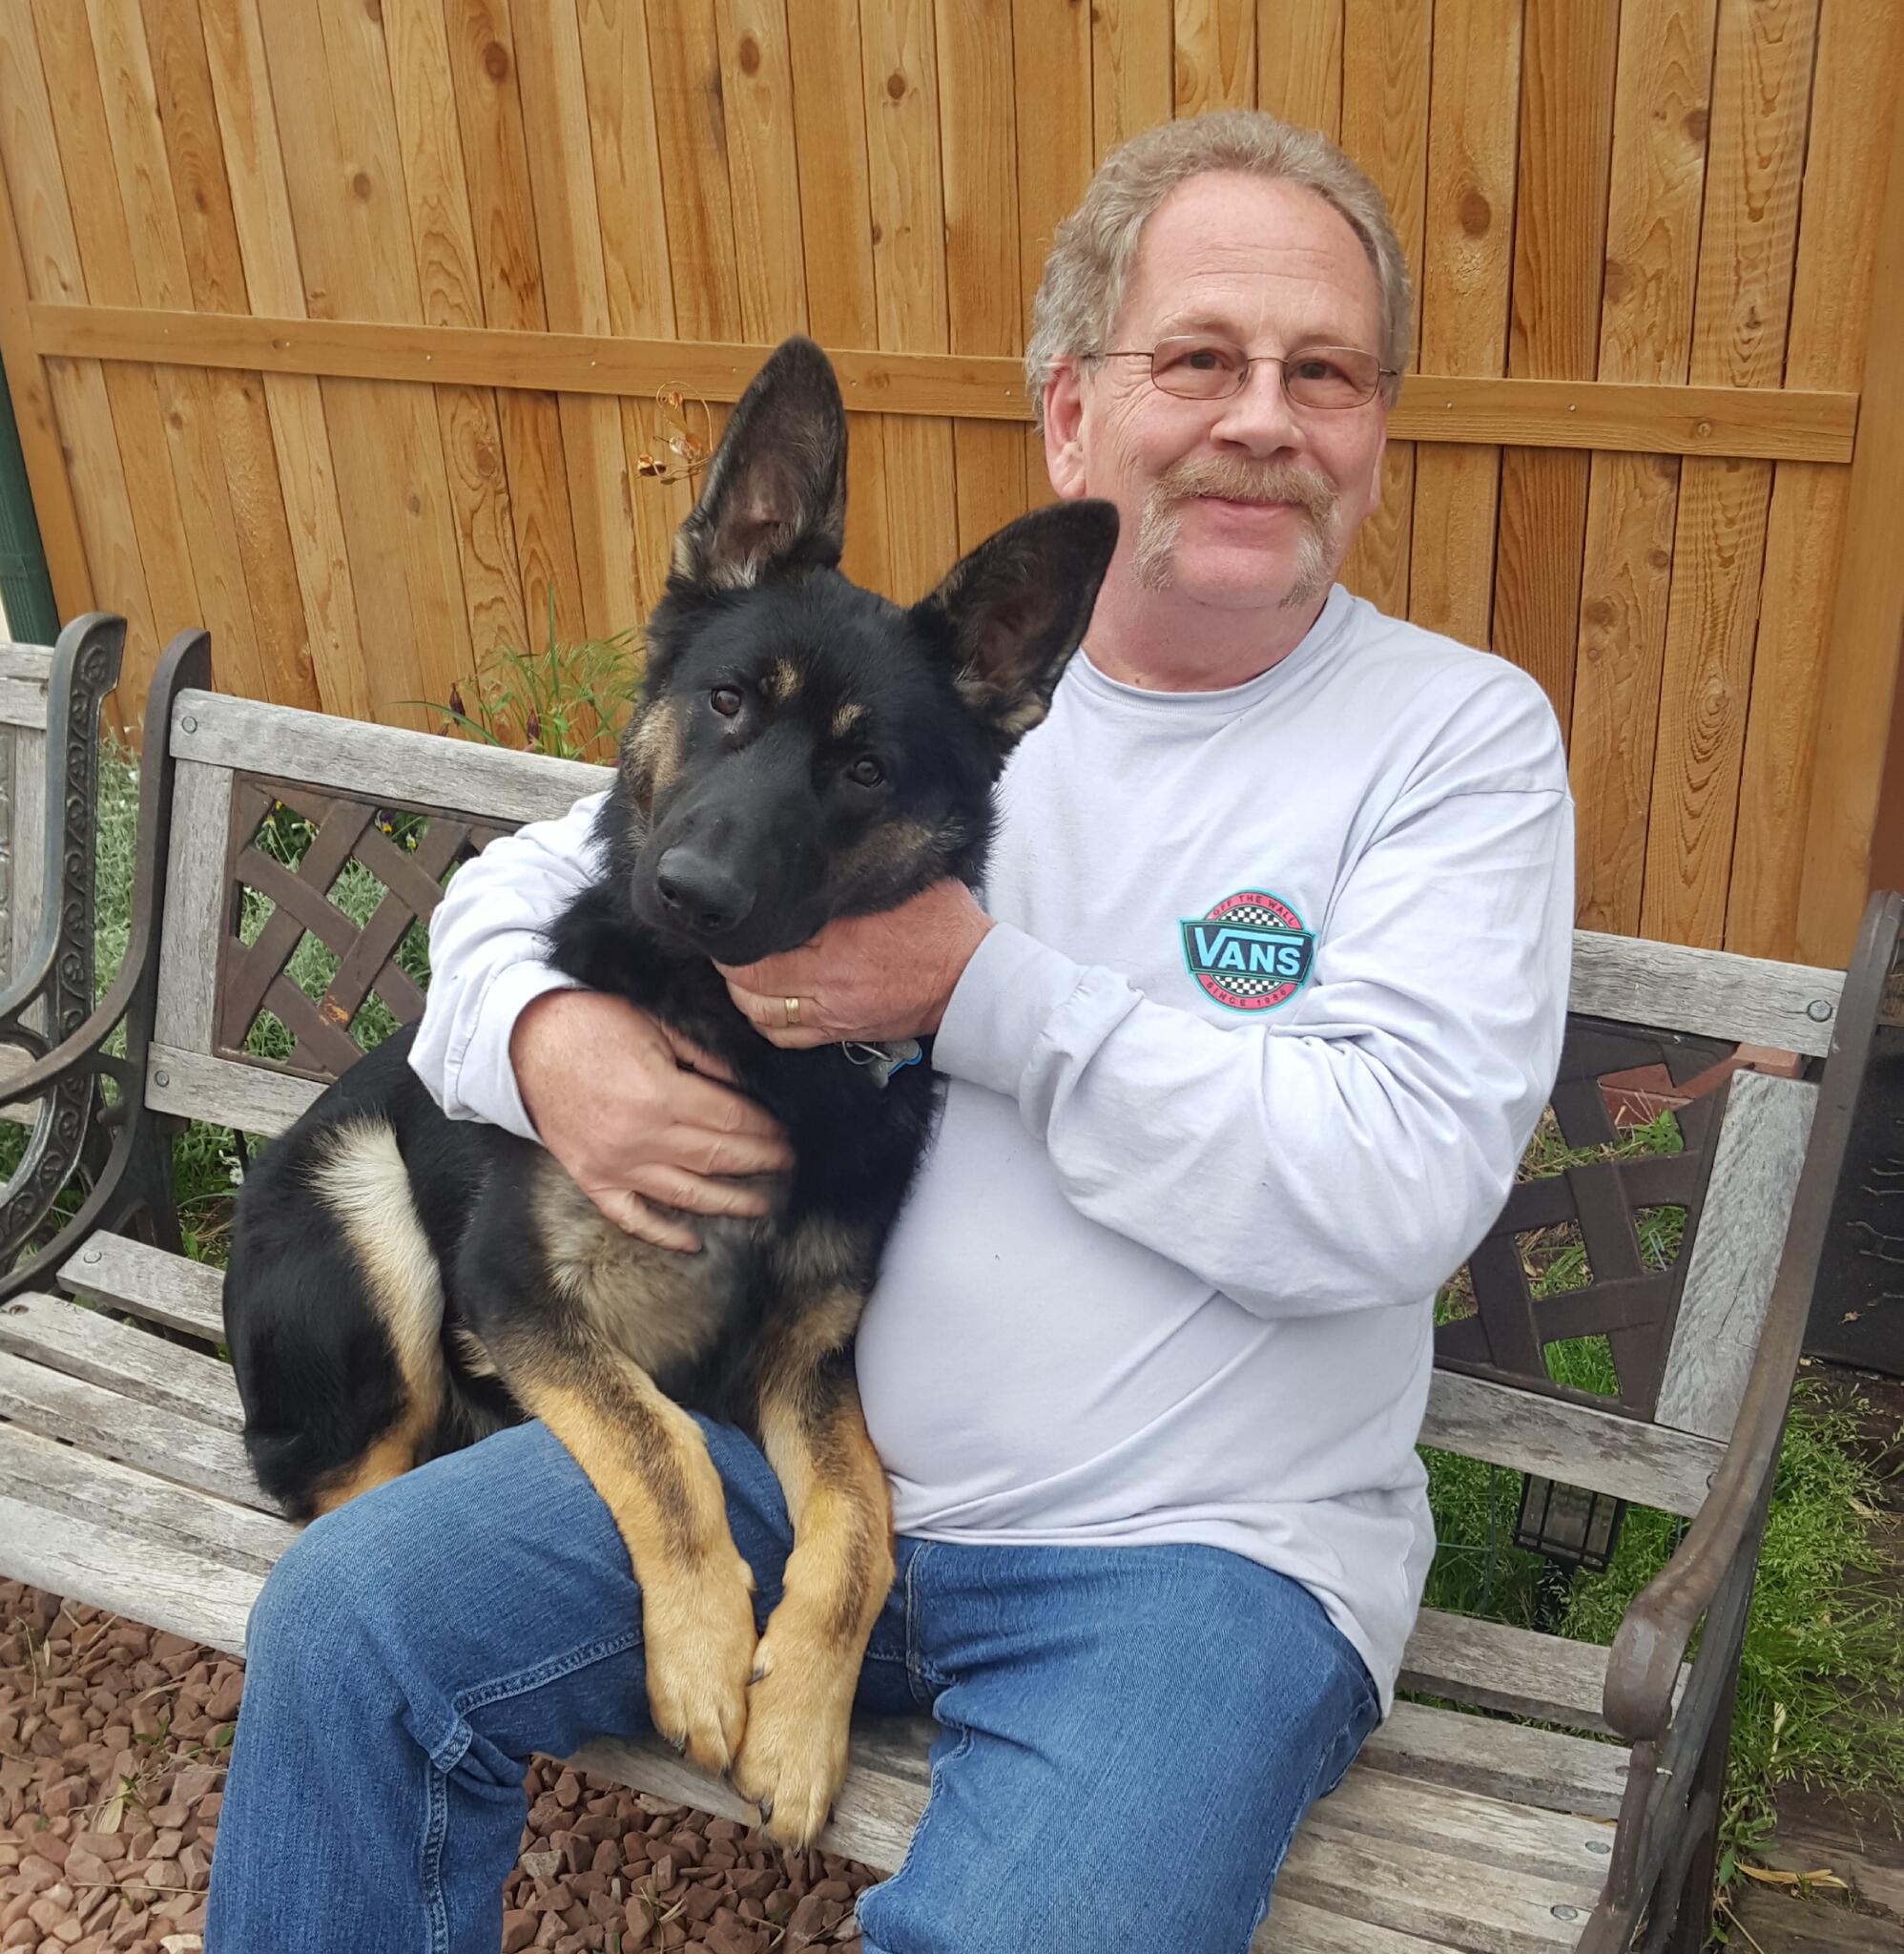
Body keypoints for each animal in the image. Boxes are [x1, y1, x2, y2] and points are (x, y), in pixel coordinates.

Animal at [223, 328, 1116, 1837]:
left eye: (863, 764)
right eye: (728, 700)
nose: (691, 892)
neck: (751, 1049)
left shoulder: (810, 1362)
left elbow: (861, 1530)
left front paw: (800, 1718)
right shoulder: (516, 1294)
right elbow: (662, 1447)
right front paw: (704, 1655)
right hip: (370, 1205)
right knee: (335, 1484)